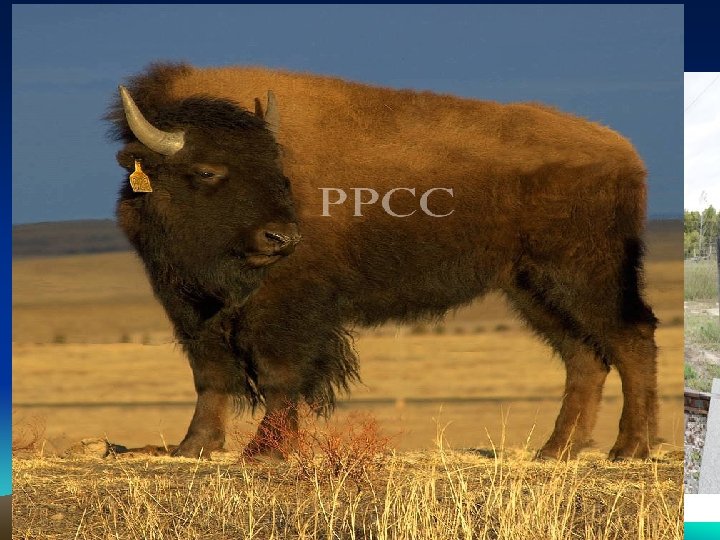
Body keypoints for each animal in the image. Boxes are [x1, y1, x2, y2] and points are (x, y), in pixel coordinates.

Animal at [109, 62, 658, 461]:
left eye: (280, 171)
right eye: (206, 170)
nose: (281, 238)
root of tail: (624, 151)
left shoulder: (287, 310)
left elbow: (279, 376)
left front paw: (266, 452)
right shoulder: (186, 305)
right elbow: (210, 374)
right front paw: (194, 447)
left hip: (584, 277)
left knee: (631, 338)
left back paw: (629, 448)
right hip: (532, 288)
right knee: (584, 357)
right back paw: (557, 451)